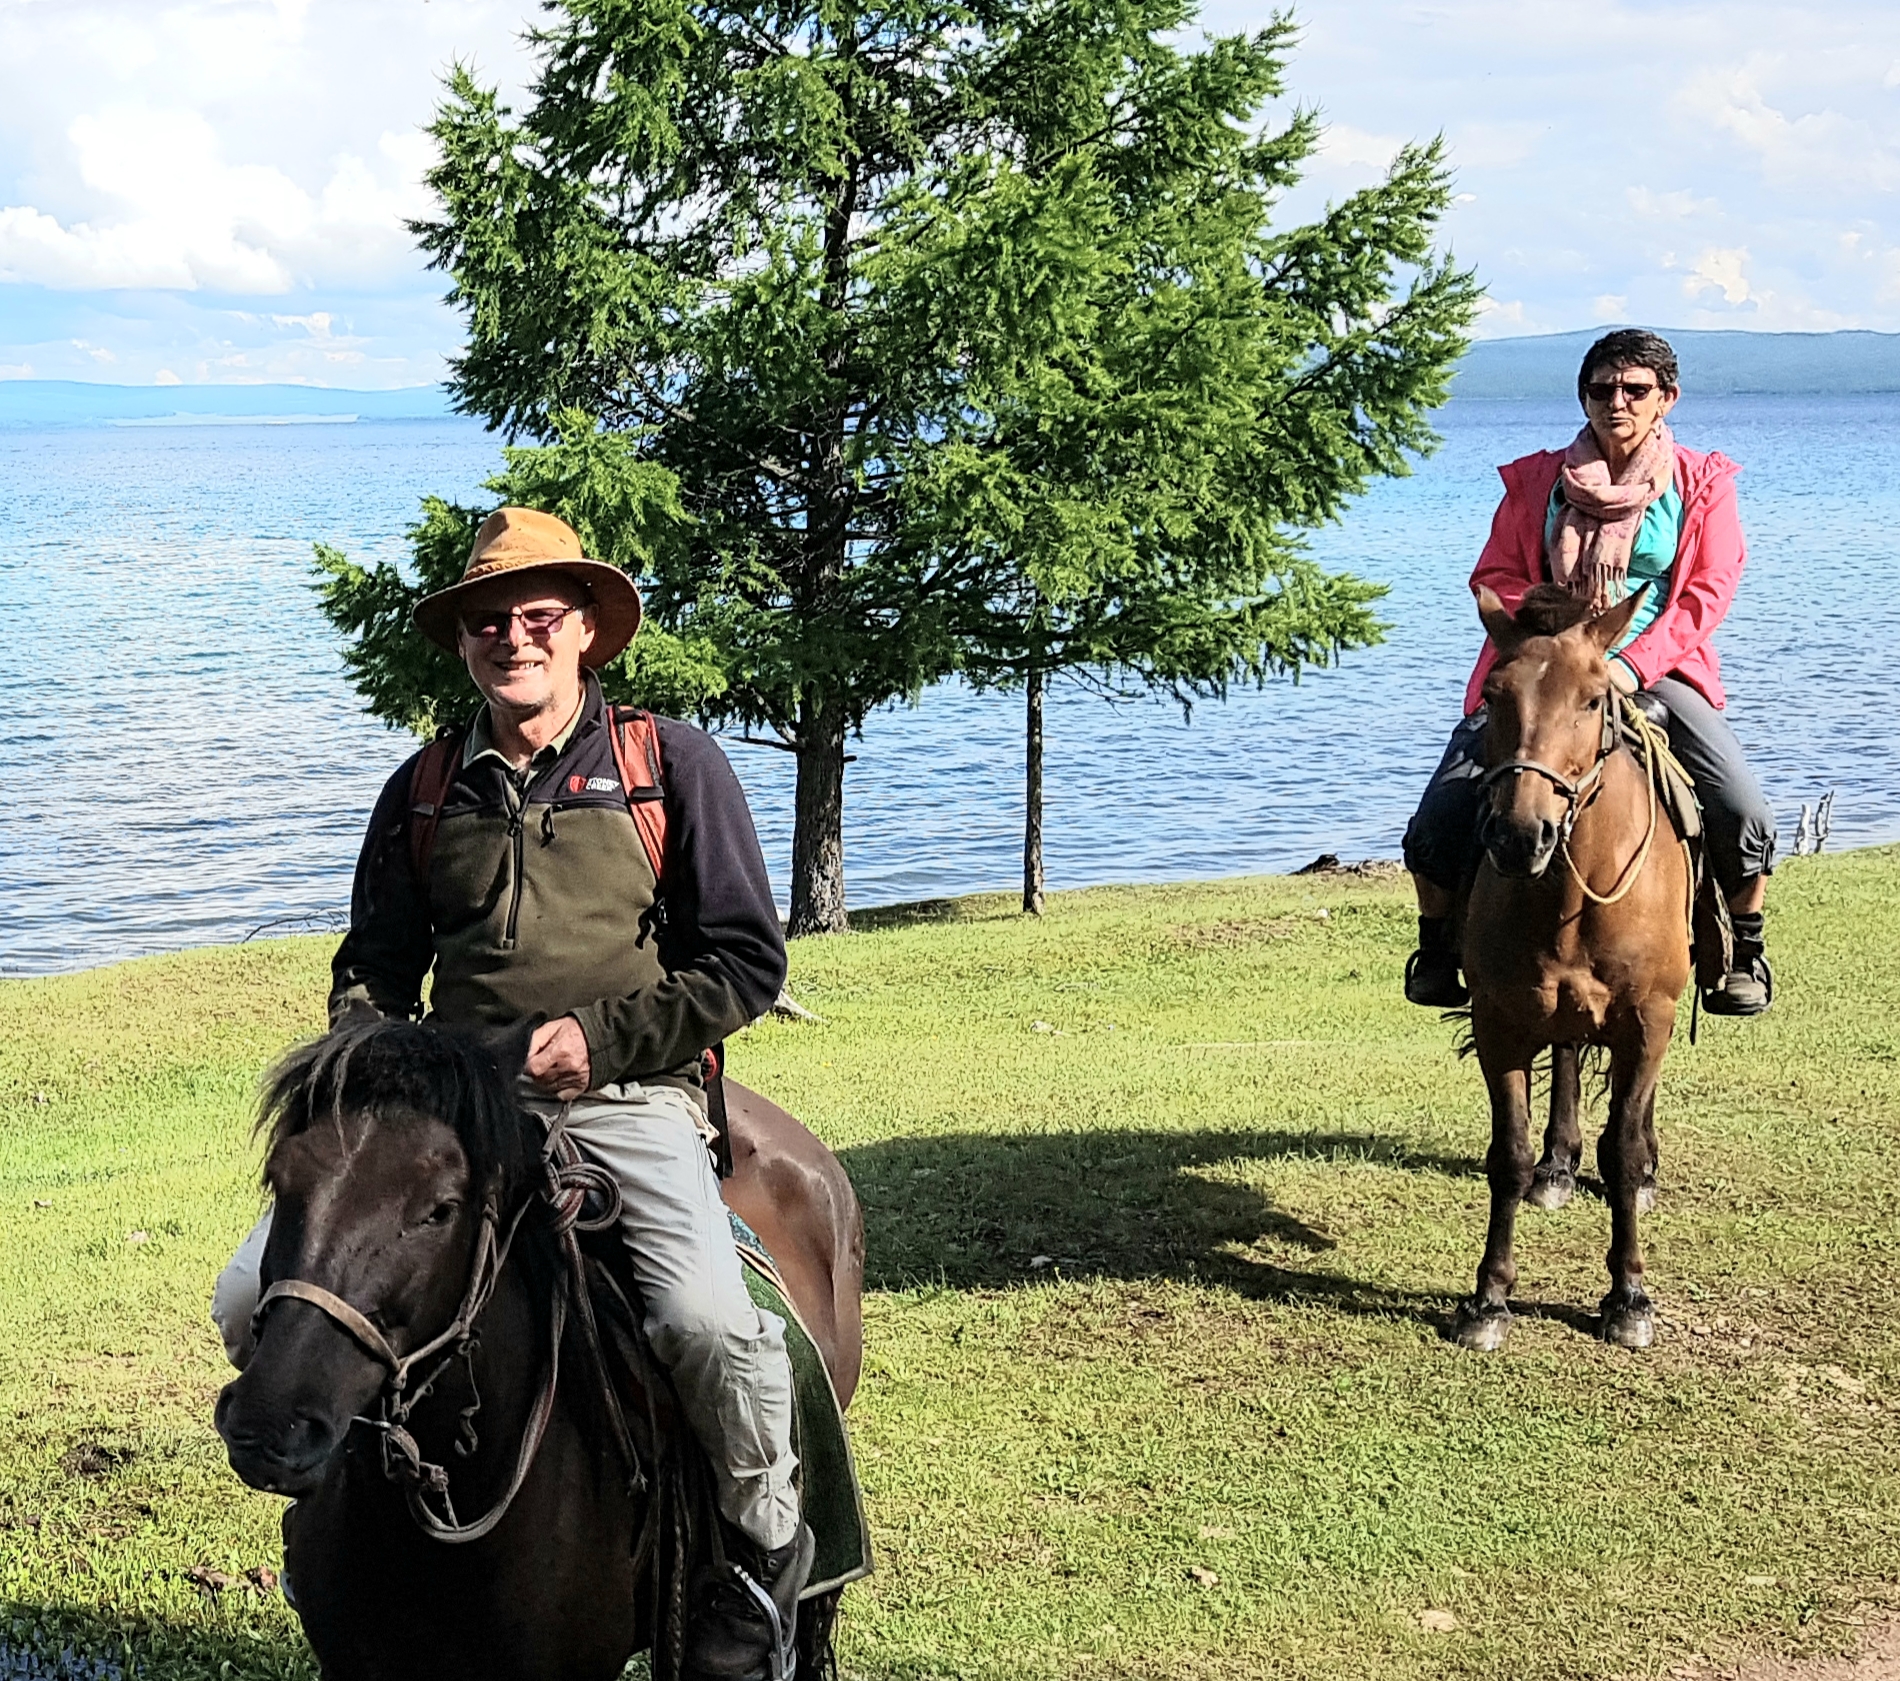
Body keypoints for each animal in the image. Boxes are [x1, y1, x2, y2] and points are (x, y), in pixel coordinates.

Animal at [1451, 581, 1694, 1352]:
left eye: (1592, 699)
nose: (1519, 834)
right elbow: (1508, 1154)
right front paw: (1490, 1298)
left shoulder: (1647, 1021)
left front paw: (1629, 1296)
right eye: (1494, 694)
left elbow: (1621, 1151)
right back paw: (1558, 1166)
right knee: (1563, 1058)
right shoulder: (1498, 1023)